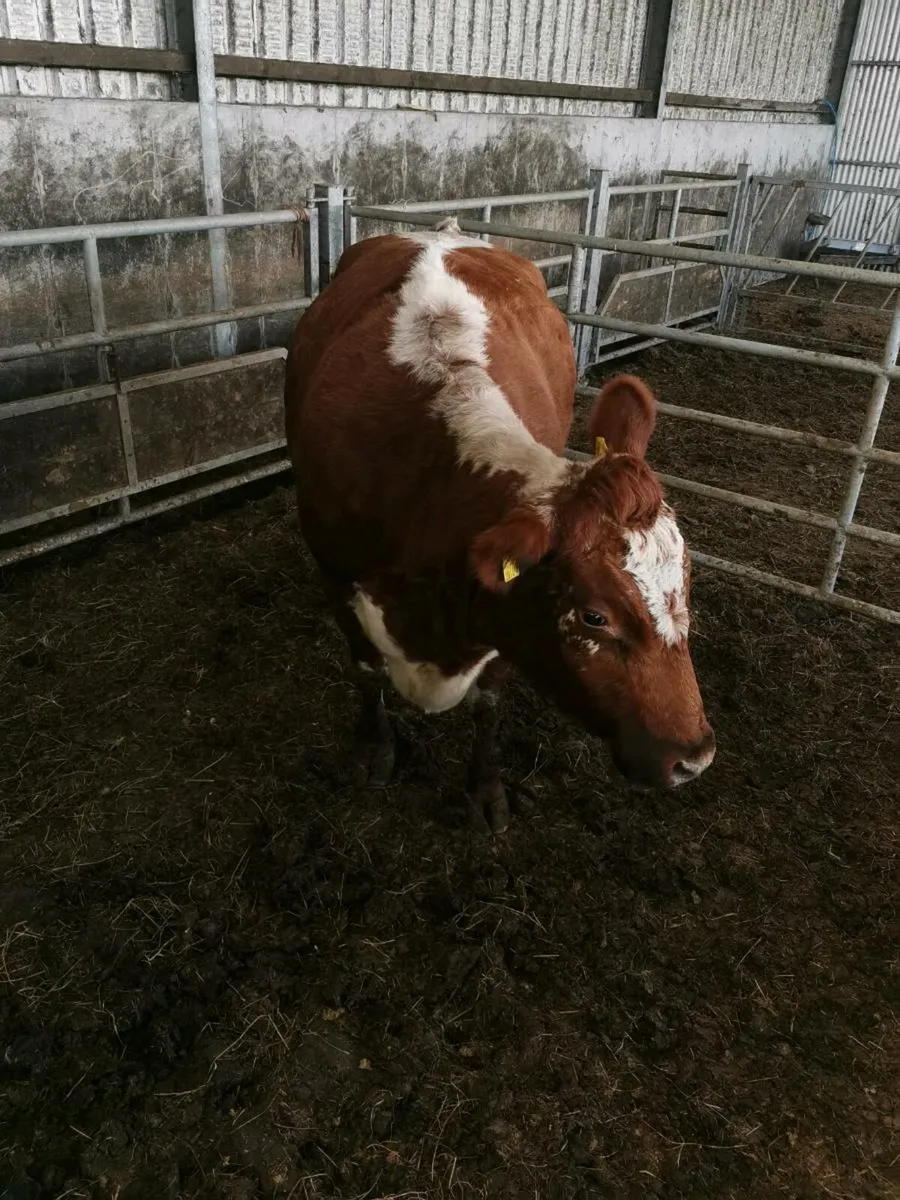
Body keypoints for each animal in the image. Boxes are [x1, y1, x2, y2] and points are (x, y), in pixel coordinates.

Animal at [284, 219, 715, 832]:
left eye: (687, 584)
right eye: (594, 616)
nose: (694, 759)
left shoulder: (505, 619)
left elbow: (487, 705)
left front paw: (485, 788)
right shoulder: (335, 574)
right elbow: (366, 671)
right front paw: (375, 749)